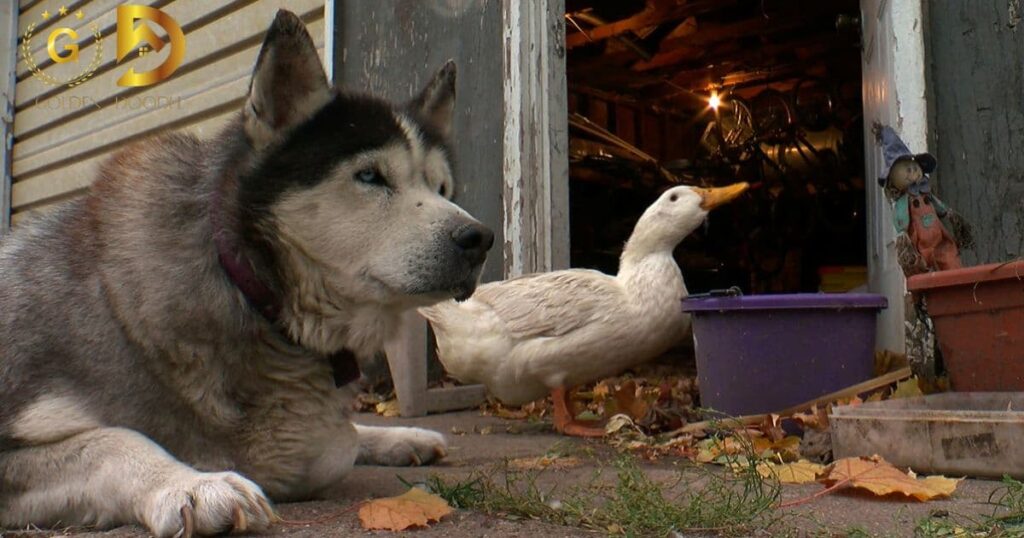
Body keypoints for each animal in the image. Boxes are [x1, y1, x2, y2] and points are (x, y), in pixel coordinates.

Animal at [0, 9, 493, 536]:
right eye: (369, 176)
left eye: (442, 188)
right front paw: (193, 483)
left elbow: (333, 443)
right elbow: (114, 439)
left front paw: (391, 436)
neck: (243, 286)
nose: (479, 238)